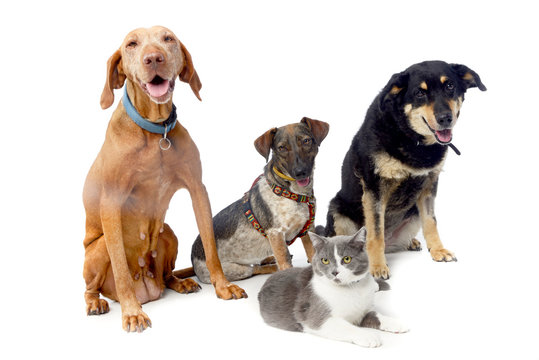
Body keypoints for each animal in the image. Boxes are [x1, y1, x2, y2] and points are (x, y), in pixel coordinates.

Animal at [84, 26, 247, 334]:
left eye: (168, 39)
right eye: (131, 44)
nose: (153, 58)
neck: (155, 132)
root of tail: (148, 288)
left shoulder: (198, 189)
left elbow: (210, 247)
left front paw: (223, 286)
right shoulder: (111, 203)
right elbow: (120, 269)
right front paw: (131, 313)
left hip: (167, 233)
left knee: (167, 274)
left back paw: (179, 282)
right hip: (97, 250)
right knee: (93, 286)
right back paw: (96, 302)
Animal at [189, 116, 330, 282]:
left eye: (306, 141)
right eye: (282, 148)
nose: (300, 172)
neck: (295, 195)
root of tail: (192, 258)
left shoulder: (307, 229)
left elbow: (314, 256)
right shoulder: (276, 233)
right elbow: (285, 262)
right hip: (236, 270)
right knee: (255, 268)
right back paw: (272, 267)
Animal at [258, 228, 410, 348]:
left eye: (347, 259)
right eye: (325, 260)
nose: (334, 272)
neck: (351, 289)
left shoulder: (364, 309)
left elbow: (377, 315)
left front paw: (396, 323)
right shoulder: (317, 316)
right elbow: (346, 327)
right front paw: (369, 336)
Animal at [318, 60, 488, 278]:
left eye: (450, 86)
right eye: (419, 93)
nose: (445, 118)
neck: (410, 136)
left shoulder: (429, 184)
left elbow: (431, 222)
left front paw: (438, 250)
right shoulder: (374, 189)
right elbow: (375, 234)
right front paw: (377, 267)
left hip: (413, 212)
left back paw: (412, 242)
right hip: (337, 211)